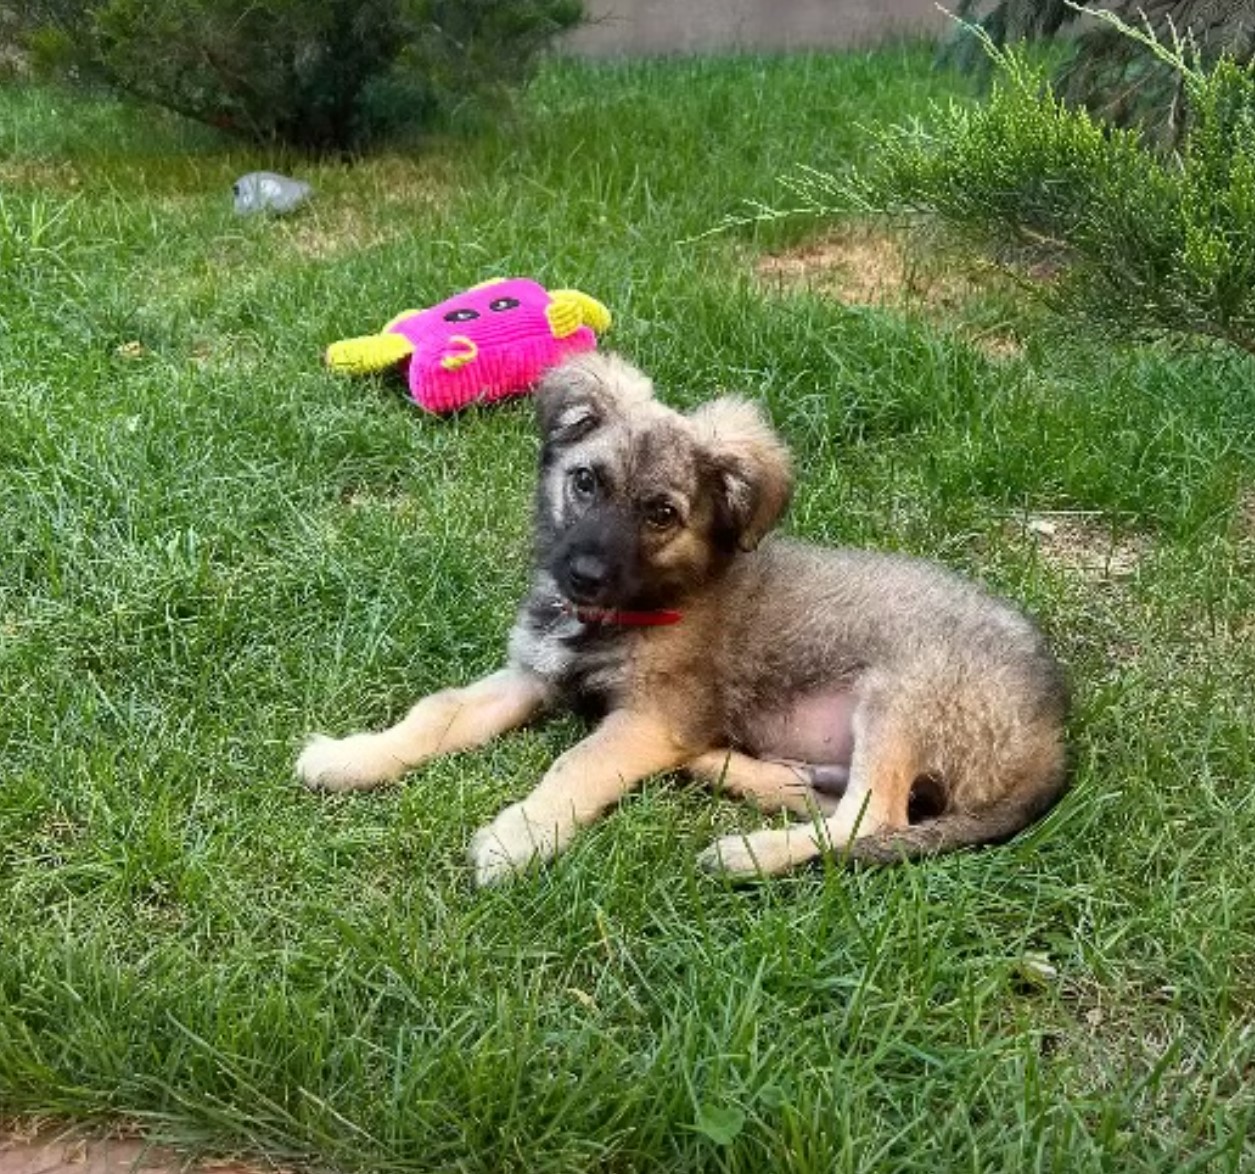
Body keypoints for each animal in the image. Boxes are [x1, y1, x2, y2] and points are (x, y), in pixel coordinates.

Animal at [296, 354, 1069, 883]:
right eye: (585, 481)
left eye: (661, 514)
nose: (579, 576)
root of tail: (1056, 734)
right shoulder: (532, 675)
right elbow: (437, 713)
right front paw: (352, 756)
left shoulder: (647, 717)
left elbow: (577, 764)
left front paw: (522, 835)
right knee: (830, 800)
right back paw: (728, 769)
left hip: (902, 691)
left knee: (868, 818)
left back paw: (744, 854)